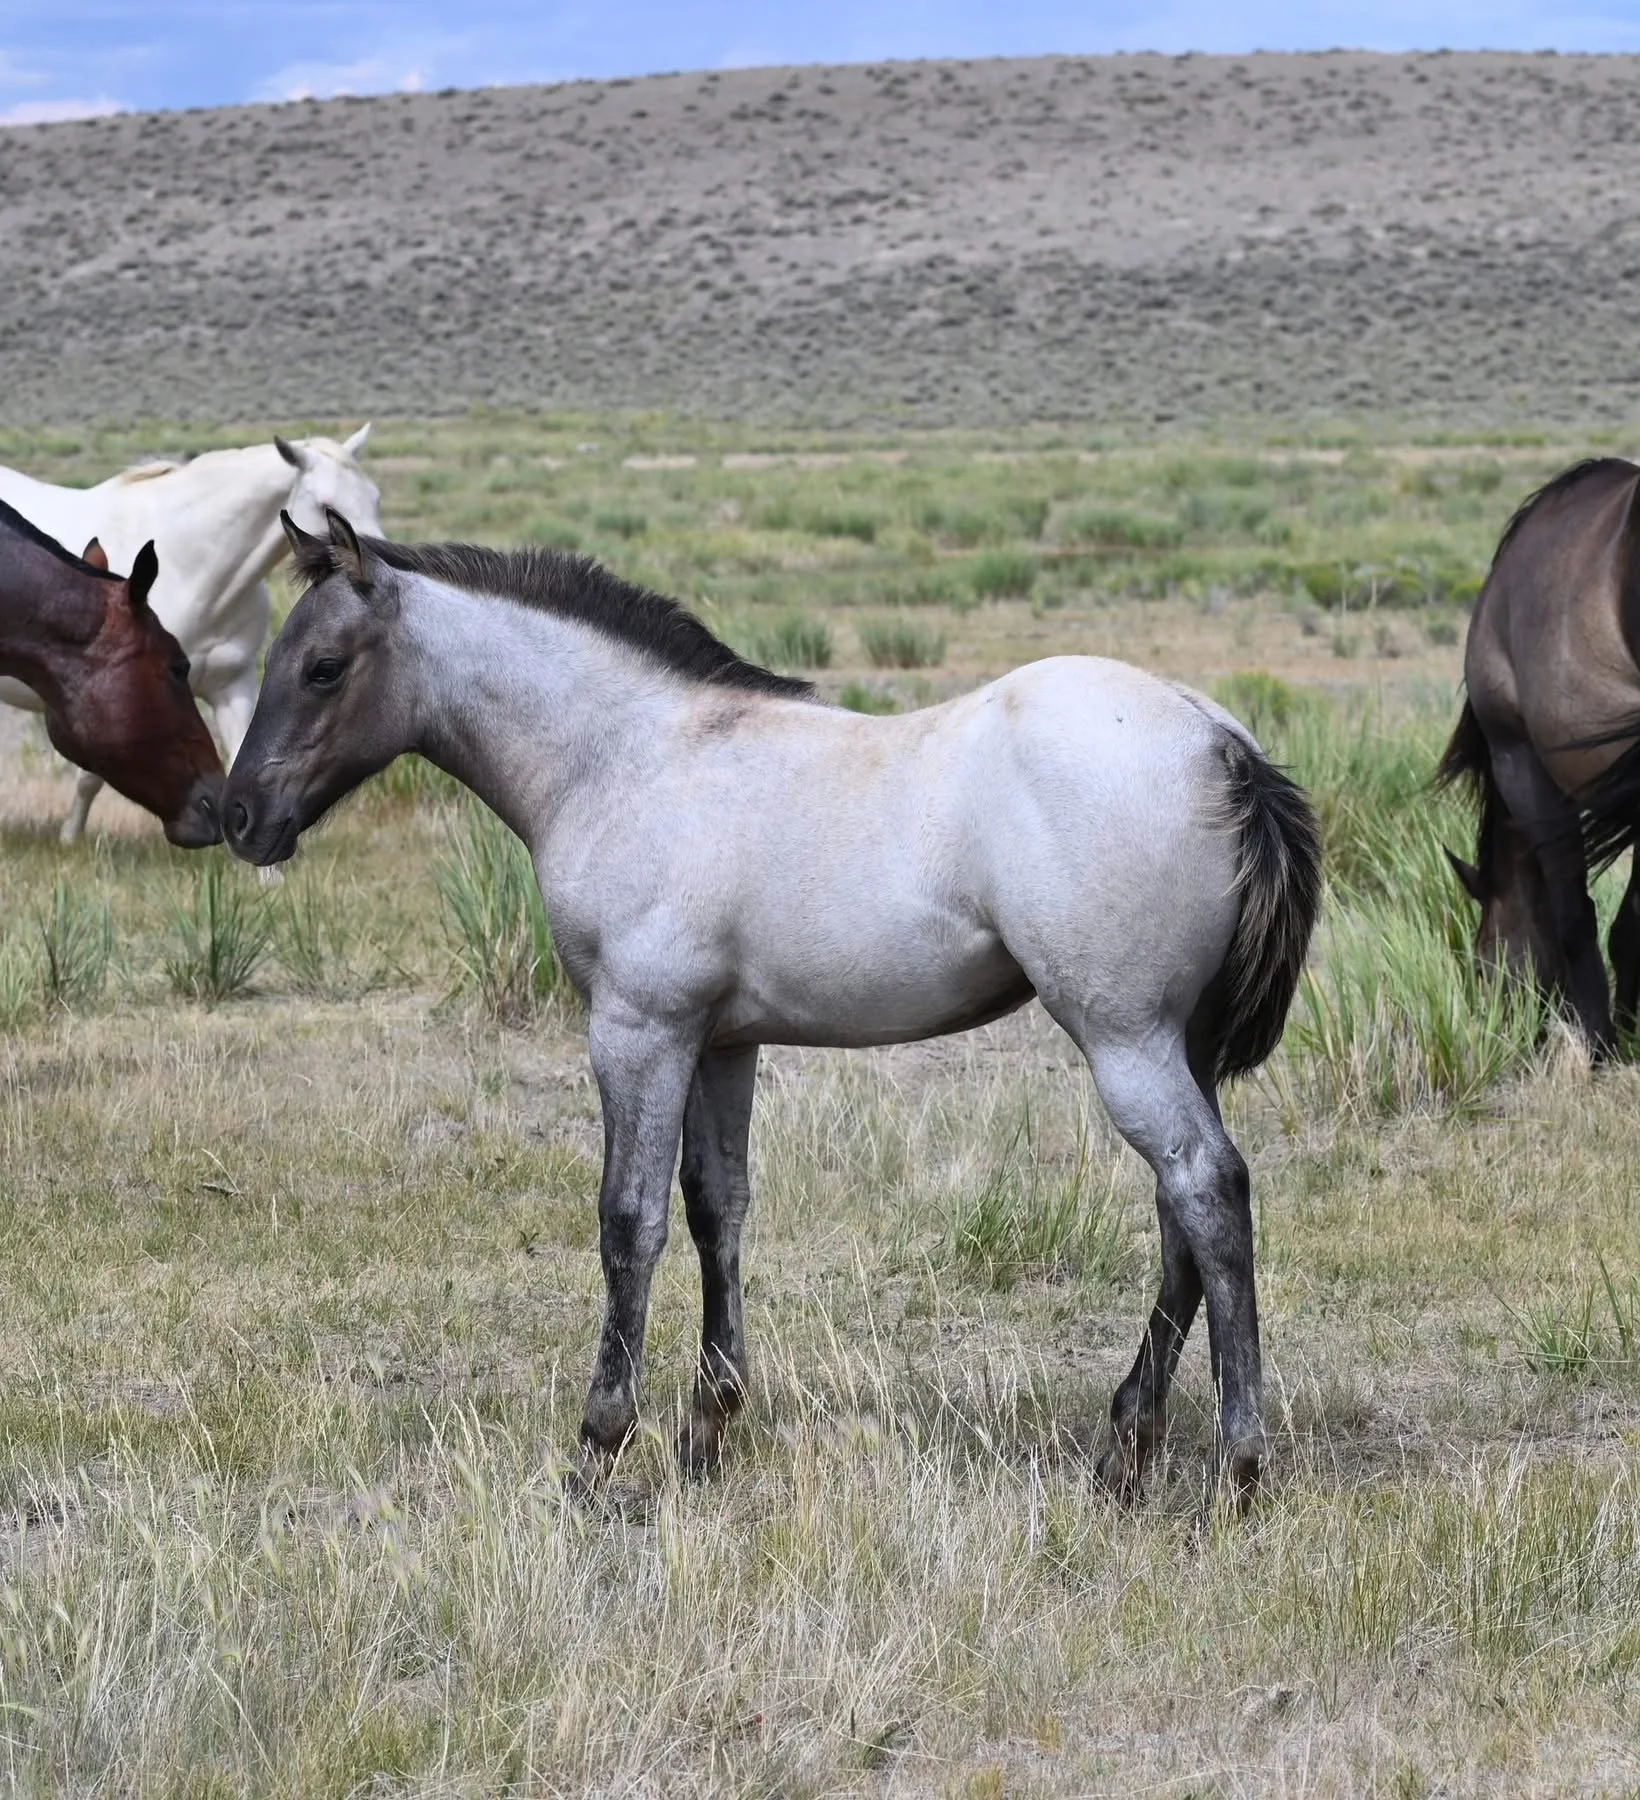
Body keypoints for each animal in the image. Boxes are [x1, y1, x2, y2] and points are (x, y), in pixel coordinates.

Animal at [223, 510, 1321, 1504]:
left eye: (323, 666)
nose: (235, 817)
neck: (631, 757)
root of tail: (1219, 743)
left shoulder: (637, 1030)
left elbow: (628, 1222)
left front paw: (599, 1449)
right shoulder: (721, 1043)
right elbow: (718, 1208)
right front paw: (705, 1433)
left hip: (1122, 1036)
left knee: (1208, 1190)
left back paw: (1235, 1470)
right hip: (1178, 1044)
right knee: (1180, 1215)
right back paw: (1126, 1449)